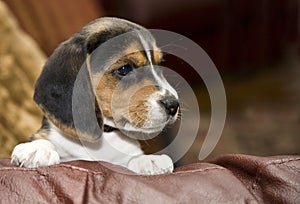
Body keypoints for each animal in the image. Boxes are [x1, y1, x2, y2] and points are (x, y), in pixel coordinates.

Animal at [10, 17, 179, 175]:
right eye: (125, 69)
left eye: (159, 65)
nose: (173, 105)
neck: (104, 134)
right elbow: (44, 139)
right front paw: (37, 149)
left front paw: (148, 160)